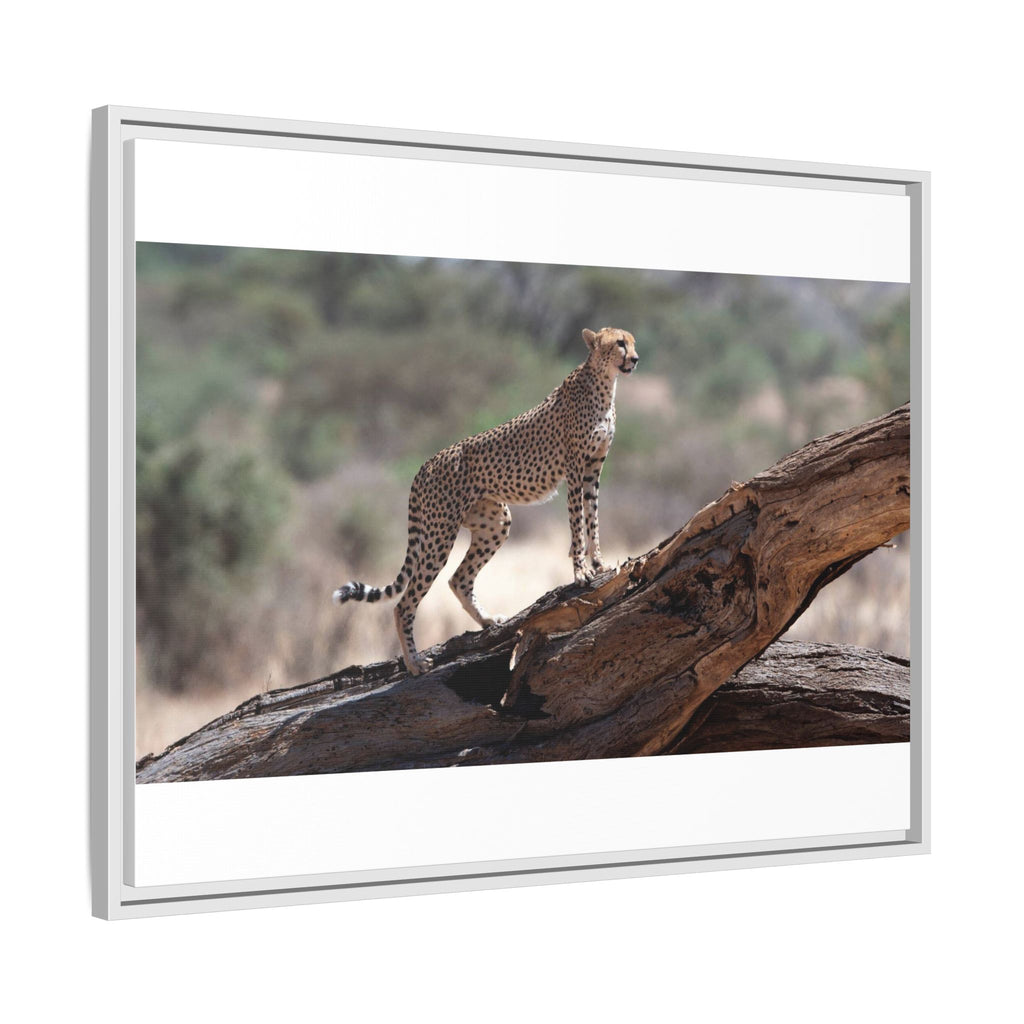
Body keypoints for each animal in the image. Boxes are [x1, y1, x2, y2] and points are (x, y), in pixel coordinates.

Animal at [332, 326, 639, 675]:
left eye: (632, 342)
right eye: (619, 343)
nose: (635, 359)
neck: (604, 383)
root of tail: (425, 464)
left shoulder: (593, 469)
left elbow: (593, 518)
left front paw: (599, 563)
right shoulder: (575, 469)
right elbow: (577, 523)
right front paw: (581, 571)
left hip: (495, 522)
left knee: (458, 579)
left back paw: (488, 621)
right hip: (439, 534)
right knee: (405, 602)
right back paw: (414, 662)